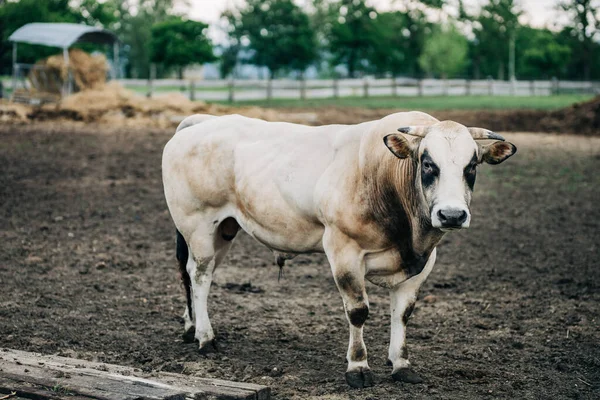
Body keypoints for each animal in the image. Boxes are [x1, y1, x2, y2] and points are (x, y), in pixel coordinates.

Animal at [161, 111, 516, 388]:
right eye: (428, 163)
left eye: (472, 166)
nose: (452, 215)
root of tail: (203, 121)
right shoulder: (344, 251)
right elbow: (358, 311)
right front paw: (358, 368)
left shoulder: (423, 262)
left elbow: (403, 313)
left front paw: (401, 365)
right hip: (199, 225)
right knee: (200, 275)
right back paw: (205, 337)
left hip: (225, 229)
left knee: (196, 277)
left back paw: (191, 327)